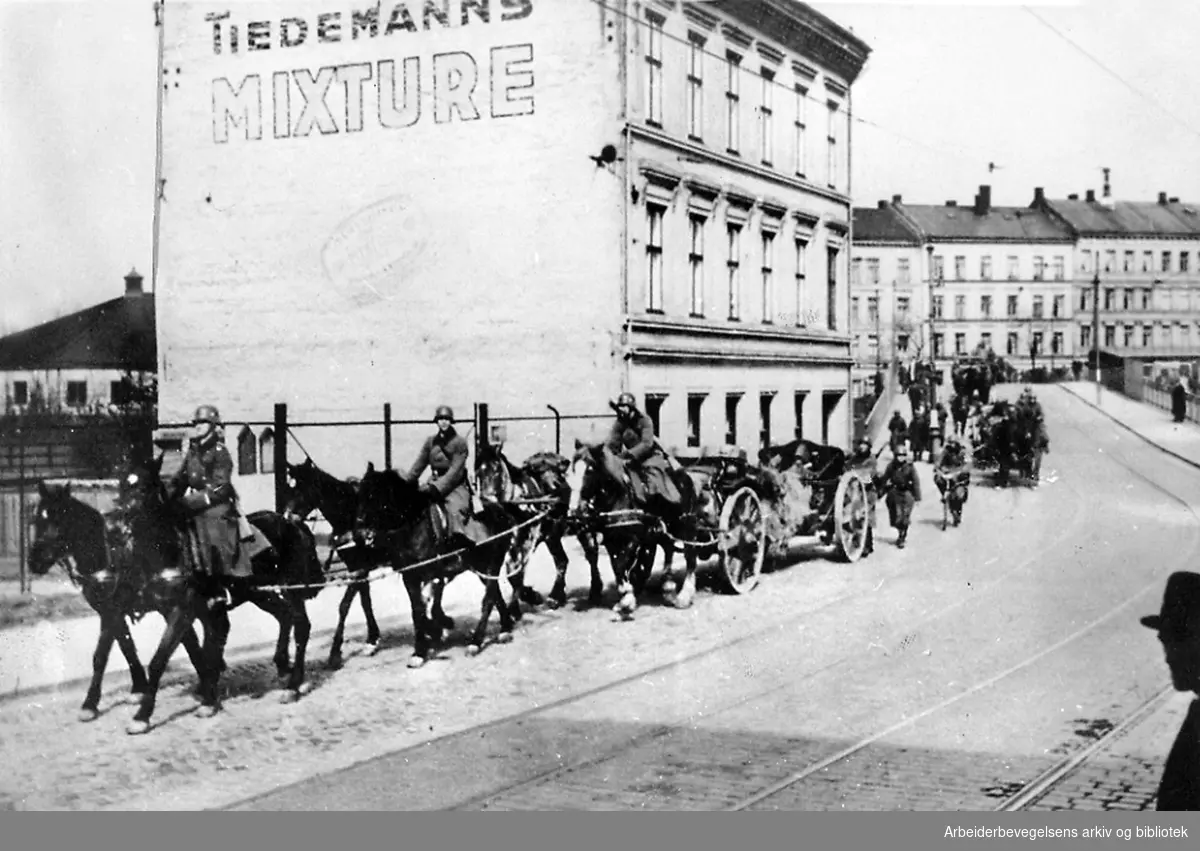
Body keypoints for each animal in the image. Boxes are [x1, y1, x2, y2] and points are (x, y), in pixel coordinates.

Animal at [27, 477, 208, 724]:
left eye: (59, 518)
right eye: (37, 518)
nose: (34, 561)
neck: (105, 555)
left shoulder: (114, 610)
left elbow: (102, 655)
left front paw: (90, 703)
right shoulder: (111, 611)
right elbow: (124, 648)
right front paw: (137, 689)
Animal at [118, 458, 324, 729]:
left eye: (143, 488)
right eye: (121, 485)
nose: (121, 523)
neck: (171, 550)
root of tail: (292, 522)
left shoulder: (182, 611)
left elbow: (161, 660)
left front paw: (143, 715)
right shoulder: (180, 611)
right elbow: (203, 653)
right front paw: (208, 695)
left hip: (291, 590)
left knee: (301, 626)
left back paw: (293, 685)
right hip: (258, 593)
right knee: (284, 617)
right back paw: (283, 667)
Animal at [350, 465, 530, 662]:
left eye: (375, 495)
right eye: (359, 495)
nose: (359, 534)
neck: (415, 526)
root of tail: (501, 510)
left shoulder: (430, 574)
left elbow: (424, 607)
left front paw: (433, 634)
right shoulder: (411, 576)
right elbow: (417, 609)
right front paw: (422, 647)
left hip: (492, 563)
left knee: (489, 598)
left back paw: (476, 642)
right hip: (481, 566)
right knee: (495, 593)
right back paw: (505, 628)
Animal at [472, 441, 604, 607]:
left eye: (496, 470)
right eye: (478, 472)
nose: (486, 500)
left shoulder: (527, 543)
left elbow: (515, 574)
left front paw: (530, 597)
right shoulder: (508, 546)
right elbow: (510, 572)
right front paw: (527, 596)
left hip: (583, 527)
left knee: (592, 554)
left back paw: (595, 592)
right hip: (552, 536)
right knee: (562, 561)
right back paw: (556, 596)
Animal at [564, 439, 700, 619]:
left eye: (589, 470)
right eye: (569, 473)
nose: (574, 512)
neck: (618, 496)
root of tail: (686, 476)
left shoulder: (633, 539)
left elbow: (621, 564)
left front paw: (627, 600)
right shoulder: (611, 541)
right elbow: (616, 566)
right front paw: (625, 596)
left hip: (687, 526)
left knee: (690, 556)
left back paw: (685, 595)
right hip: (664, 530)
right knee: (669, 550)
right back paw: (668, 587)